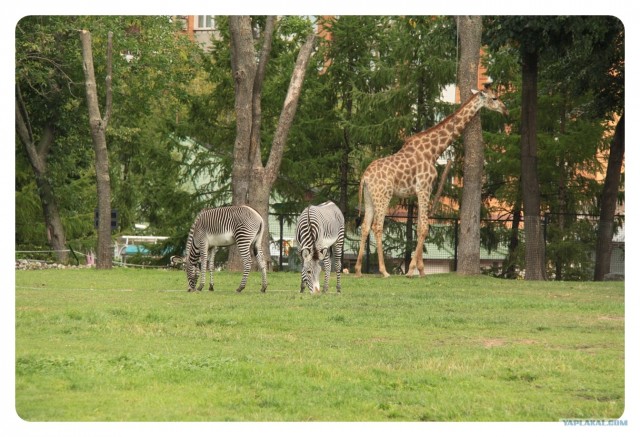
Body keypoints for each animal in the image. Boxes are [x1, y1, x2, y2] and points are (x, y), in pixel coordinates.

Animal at [352, 84, 508, 276]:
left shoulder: (420, 191)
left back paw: (358, 270)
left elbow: (420, 225)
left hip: (369, 197)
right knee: (377, 226)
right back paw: (384, 271)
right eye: (494, 98)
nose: (505, 110)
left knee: (365, 227)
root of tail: (364, 177)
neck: (434, 151)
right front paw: (412, 270)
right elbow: (424, 227)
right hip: (384, 195)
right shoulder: (424, 188)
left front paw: (421, 270)